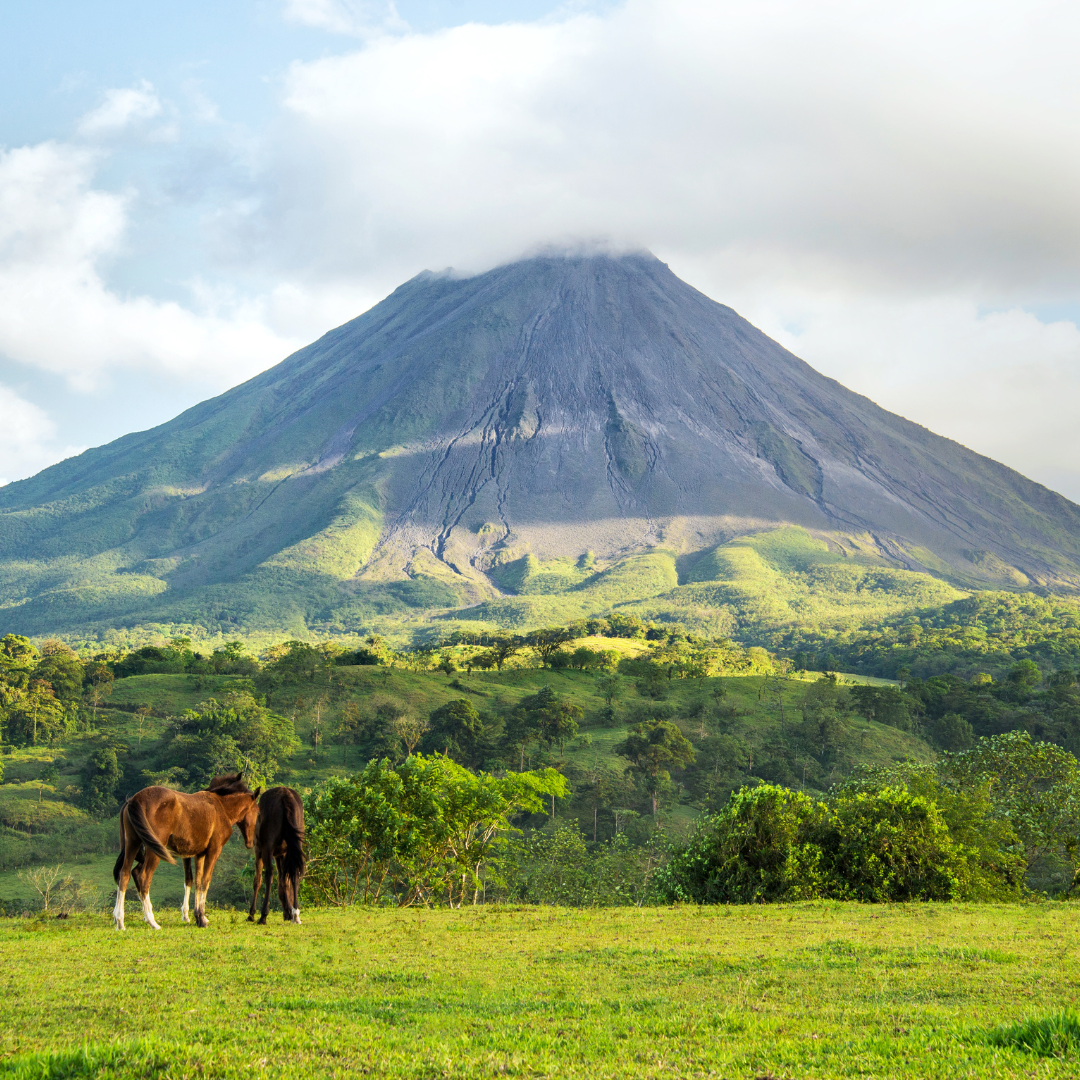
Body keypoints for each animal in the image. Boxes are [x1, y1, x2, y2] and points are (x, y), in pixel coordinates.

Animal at [112, 773, 260, 933]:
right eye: (258, 812)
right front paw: (201, 919)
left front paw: (198, 917)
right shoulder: (214, 850)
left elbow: (196, 881)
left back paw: (120, 921)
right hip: (153, 850)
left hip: (132, 843)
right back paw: (152, 922)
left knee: (124, 874)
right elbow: (205, 882)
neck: (221, 808)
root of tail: (135, 800)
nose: (251, 842)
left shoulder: (199, 854)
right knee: (143, 877)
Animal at [247, 786, 306, 928]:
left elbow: (257, 880)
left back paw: (263, 915)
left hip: (267, 848)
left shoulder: (259, 850)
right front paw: (288, 912)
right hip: (295, 846)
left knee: (269, 874)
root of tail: (285, 796)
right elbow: (283, 882)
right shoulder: (281, 854)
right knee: (294, 874)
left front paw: (251, 914)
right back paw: (295, 914)